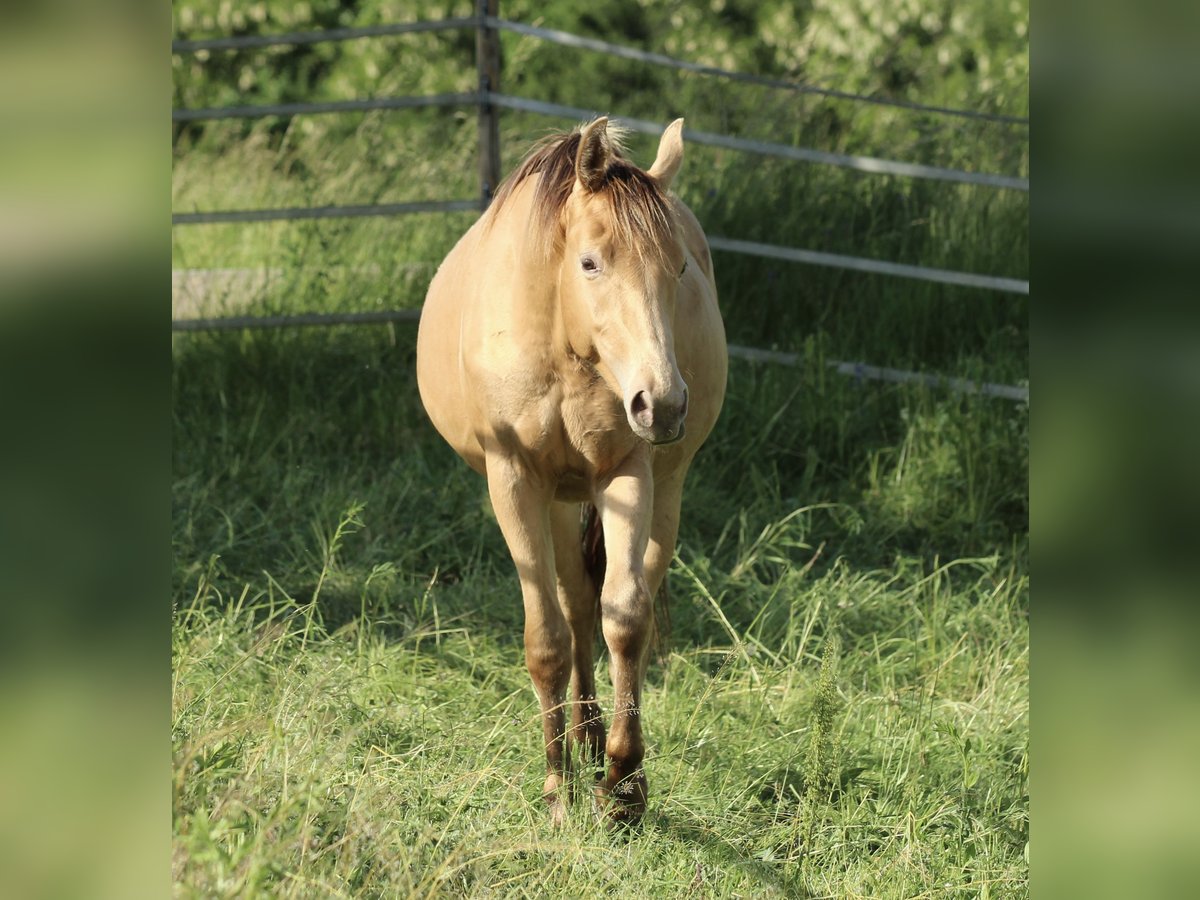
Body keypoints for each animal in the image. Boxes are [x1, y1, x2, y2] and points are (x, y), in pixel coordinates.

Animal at [416, 117, 727, 825]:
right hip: (557, 496)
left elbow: (626, 617)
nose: (663, 403)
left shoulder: (627, 471)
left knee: (604, 601)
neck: (563, 344)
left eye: (679, 267)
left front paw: (624, 780)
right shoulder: (514, 480)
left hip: (658, 488)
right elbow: (548, 640)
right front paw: (559, 790)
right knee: (572, 600)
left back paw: (596, 742)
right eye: (590, 262)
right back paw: (579, 739)